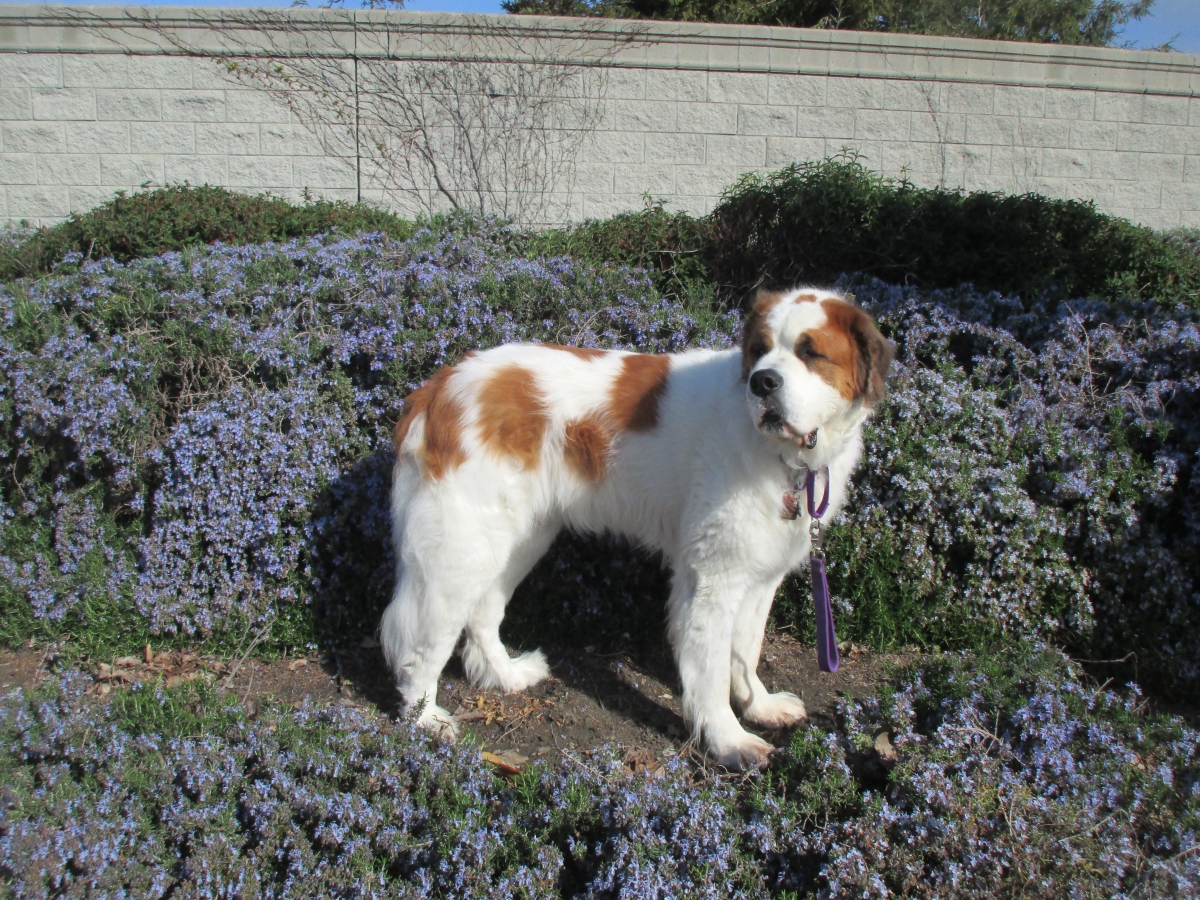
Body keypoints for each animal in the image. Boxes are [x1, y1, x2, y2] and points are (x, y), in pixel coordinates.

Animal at [381, 287, 892, 770]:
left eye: (810, 352)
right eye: (760, 350)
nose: (762, 381)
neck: (780, 454)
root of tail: (438, 387)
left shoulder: (758, 573)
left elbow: (745, 651)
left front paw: (758, 706)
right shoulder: (712, 578)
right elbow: (710, 670)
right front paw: (729, 741)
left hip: (518, 541)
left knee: (483, 614)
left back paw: (506, 675)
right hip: (463, 549)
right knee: (423, 640)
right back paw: (425, 719)